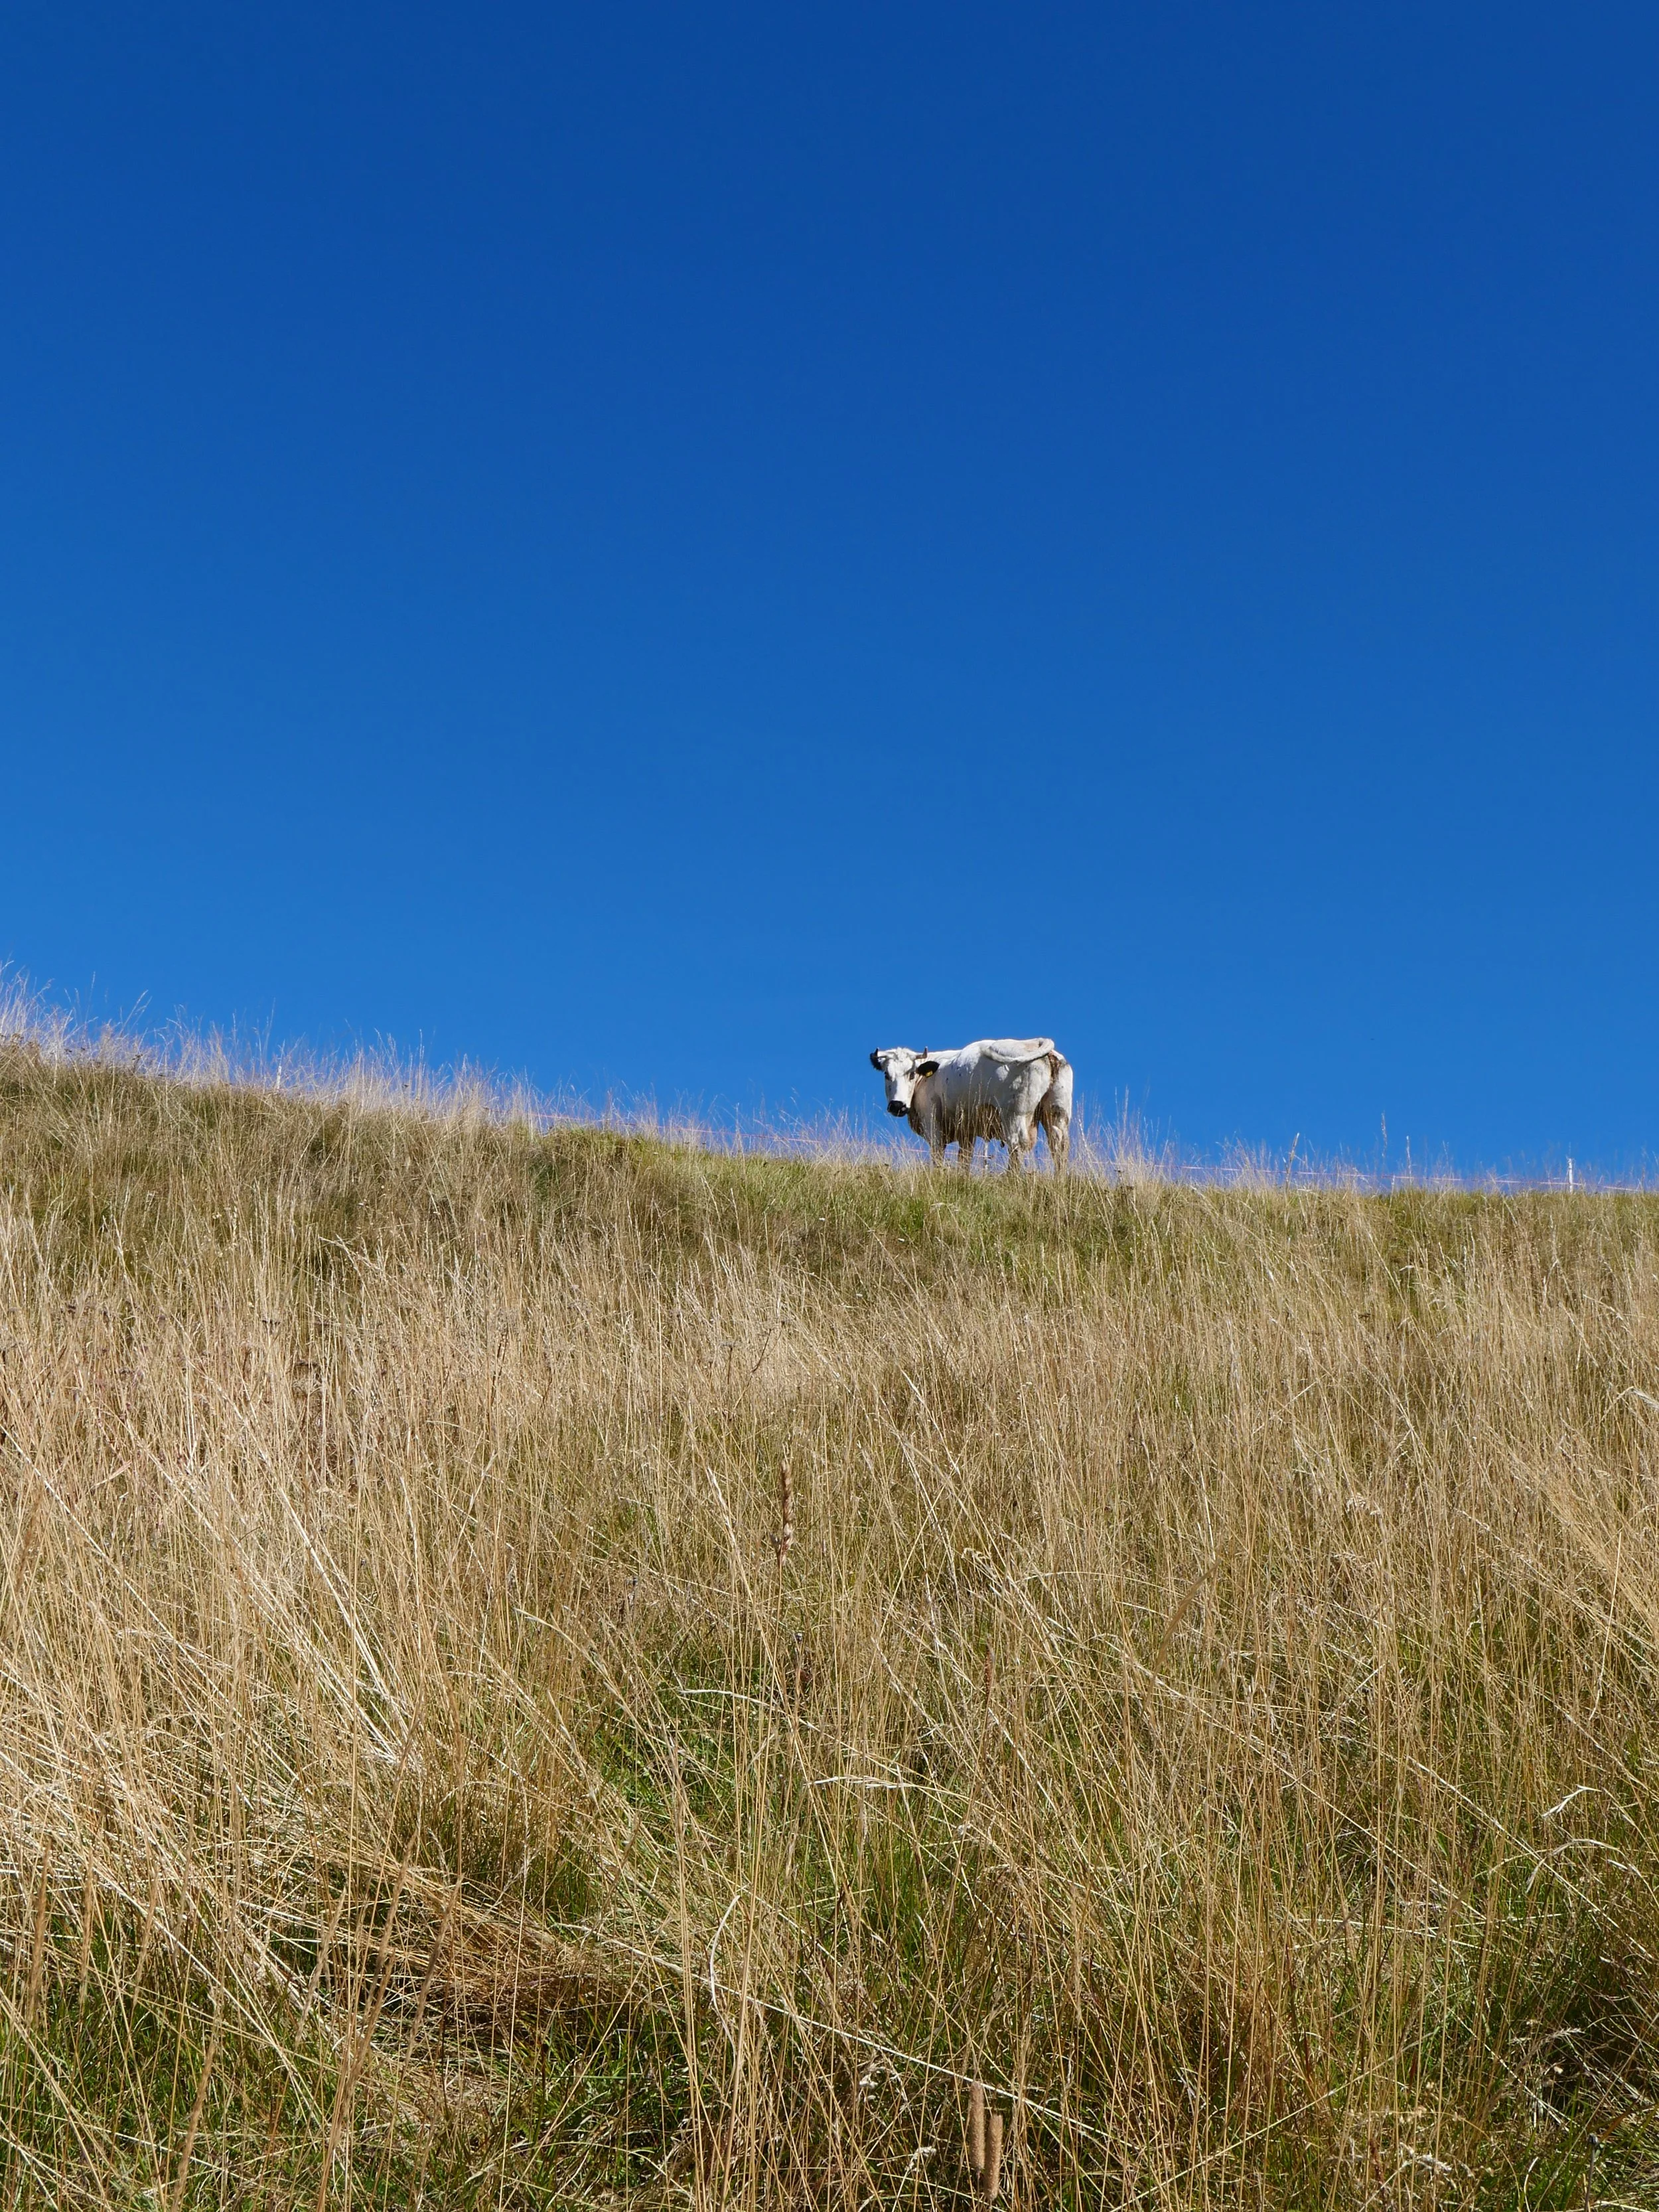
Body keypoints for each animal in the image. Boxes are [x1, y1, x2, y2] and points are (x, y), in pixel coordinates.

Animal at [868, 1038, 1073, 1171]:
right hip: (1057, 1113)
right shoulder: (967, 1131)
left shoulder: (932, 1121)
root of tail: (1035, 1043)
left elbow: (938, 1155)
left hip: (1015, 1117)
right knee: (1059, 1148)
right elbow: (965, 1158)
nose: (897, 1105)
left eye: (911, 1074)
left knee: (1017, 1148)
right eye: (886, 1074)